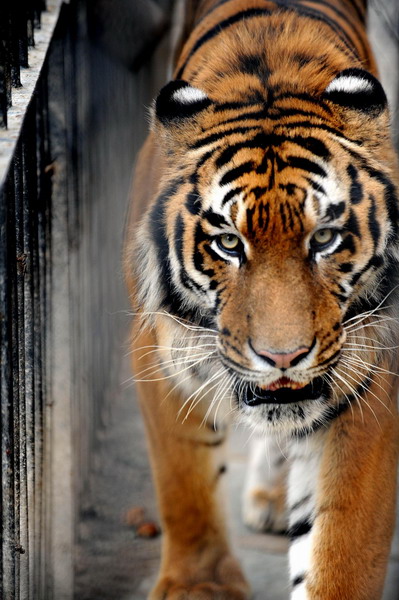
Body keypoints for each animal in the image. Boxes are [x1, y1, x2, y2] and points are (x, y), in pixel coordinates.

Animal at [123, 1, 398, 600]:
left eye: (325, 239)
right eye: (229, 242)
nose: (282, 357)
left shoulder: (371, 376)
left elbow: (341, 543)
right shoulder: (157, 350)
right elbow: (183, 483)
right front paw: (197, 586)